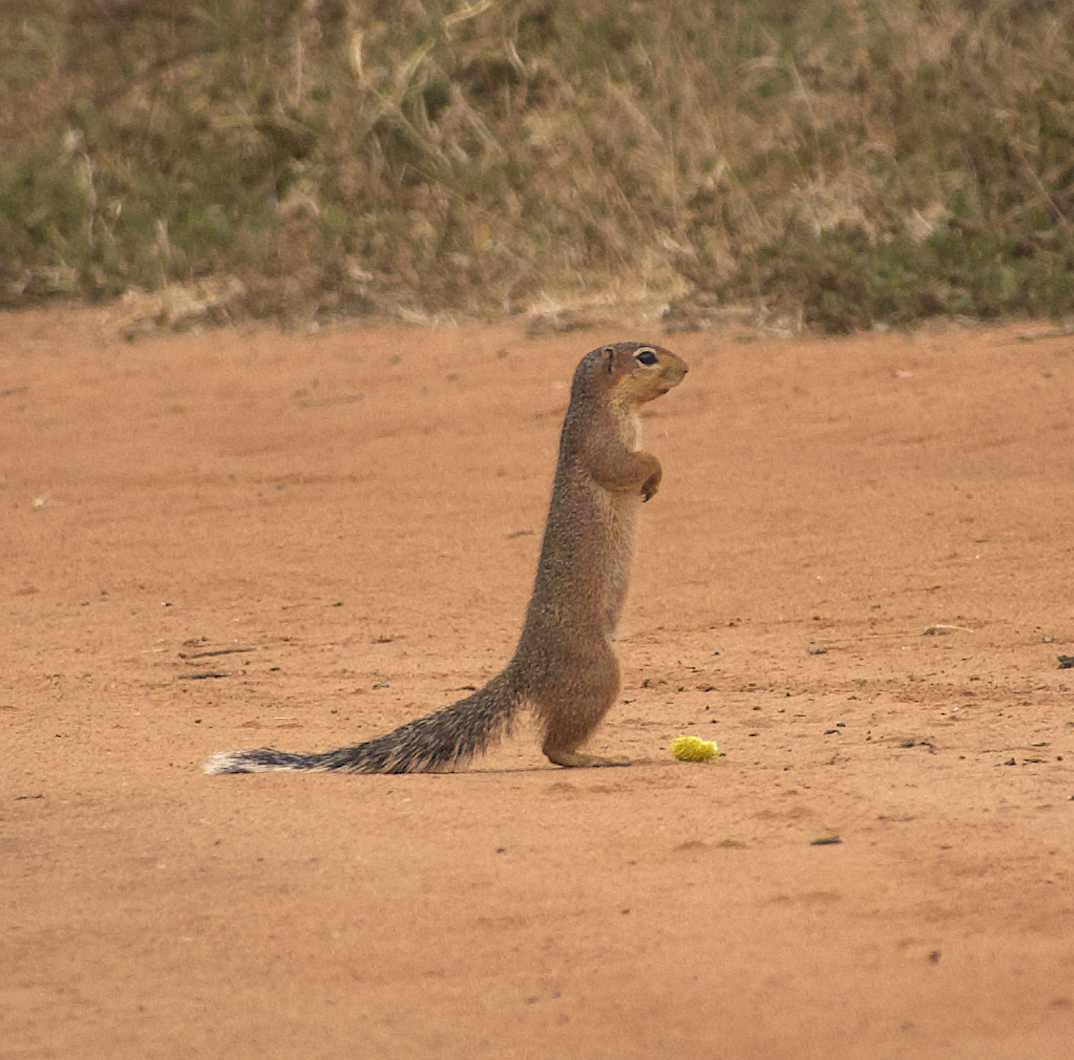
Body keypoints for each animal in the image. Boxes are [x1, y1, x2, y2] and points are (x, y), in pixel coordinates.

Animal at [205, 341, 688, 775]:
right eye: (646, 357)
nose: (686, 368)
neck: (605, 405)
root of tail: (527, 667)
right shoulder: (600, 443)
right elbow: (628, 465)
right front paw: (655, 474)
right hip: (596, 672)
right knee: (554, 746)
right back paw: (592, 757)